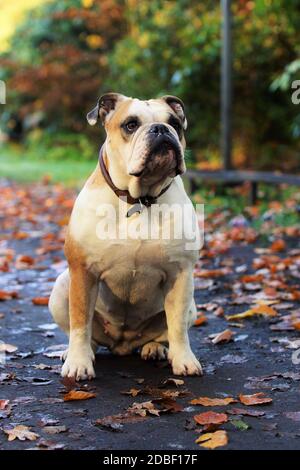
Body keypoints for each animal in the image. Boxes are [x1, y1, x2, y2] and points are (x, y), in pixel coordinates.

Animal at [49, 93, 203, 380]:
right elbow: (80, 322)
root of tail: (123, 345)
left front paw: (184, 360)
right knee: (87, 334)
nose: (161, 129)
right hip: (61, 287)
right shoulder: (82, 272)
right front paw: (78, 363)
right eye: (131, 125)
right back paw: (80, 352)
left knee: (164, 332)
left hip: (191, 305)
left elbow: (177, 326)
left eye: (175, 123)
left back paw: (155, 348)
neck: (139, 198)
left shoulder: (181, 274)